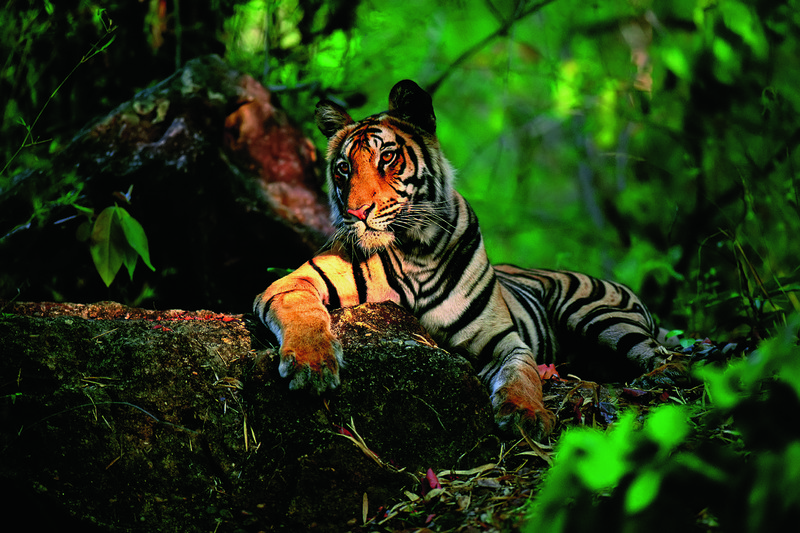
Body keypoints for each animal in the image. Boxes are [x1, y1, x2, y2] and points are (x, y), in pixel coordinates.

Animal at [254, 79, 674, 440]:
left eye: (387, 157)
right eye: (344, 168)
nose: (356, 212)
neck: (416, 248)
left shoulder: (501, 339)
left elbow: (522, 373)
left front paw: (527, 415)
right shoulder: (292, 283)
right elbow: (303, 312)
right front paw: (312, 366)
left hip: (598, 314)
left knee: (660, 355)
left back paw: (661, 377)